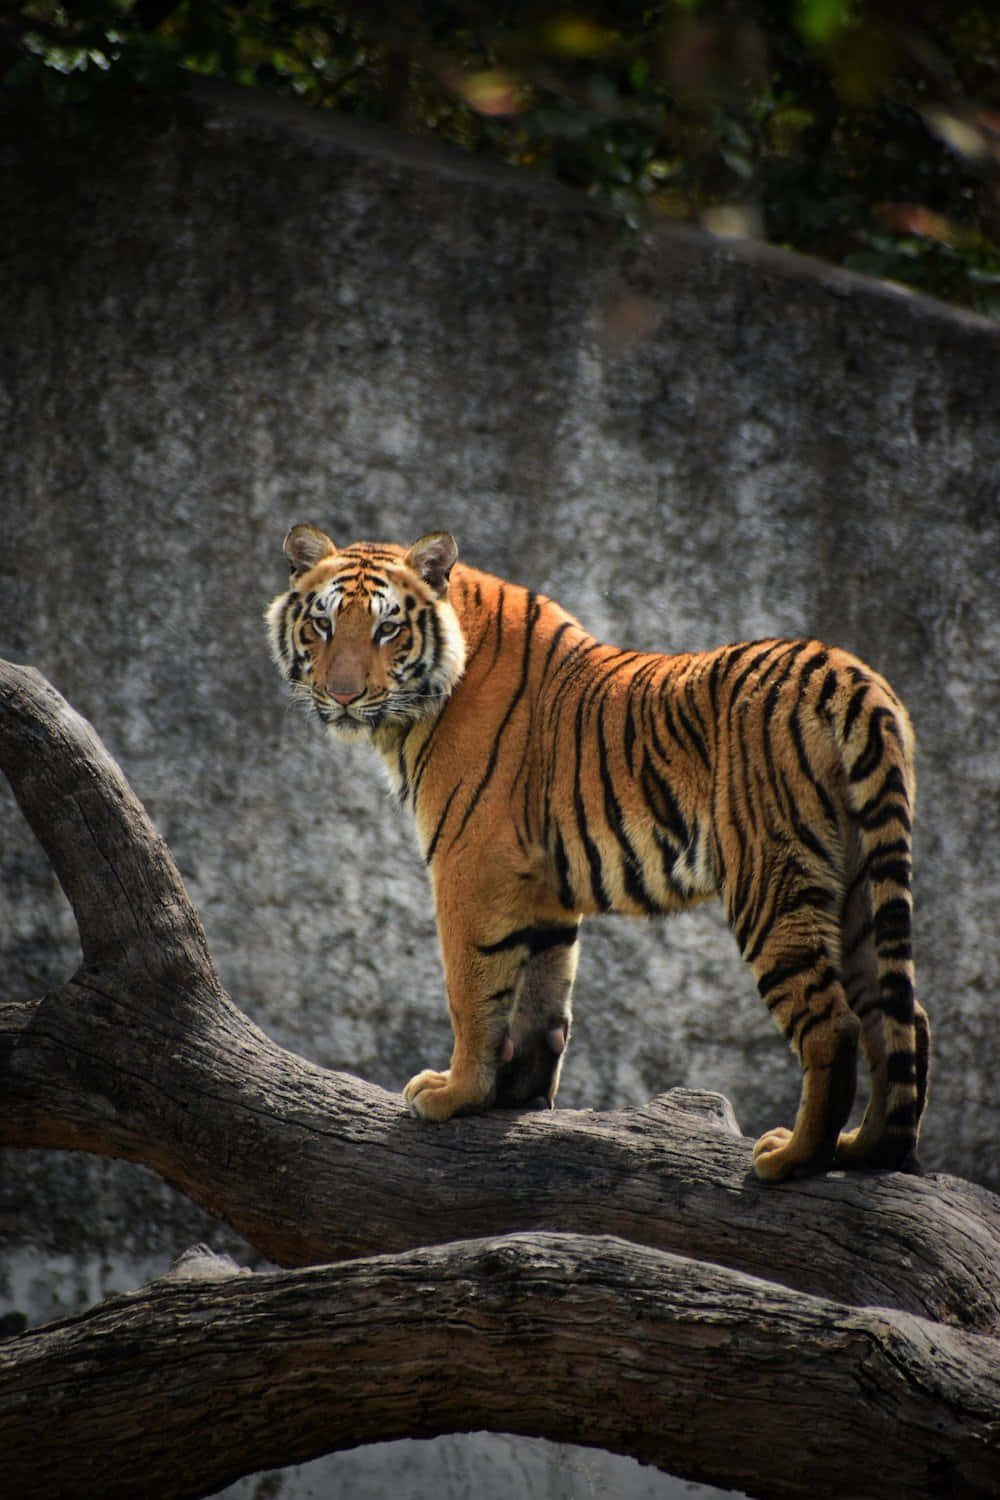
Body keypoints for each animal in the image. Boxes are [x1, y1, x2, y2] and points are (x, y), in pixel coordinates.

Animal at [266, 523, 929, 1182]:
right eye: (323, 624)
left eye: (387, 629)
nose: (343, 695)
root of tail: (848, 673)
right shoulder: (541, 884)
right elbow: (543, 994)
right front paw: (517, 1096)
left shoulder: (470, 862)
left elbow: (473, 988)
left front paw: (455, 1094)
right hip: (860, 882)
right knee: (900, 1018)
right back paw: (867, 1150)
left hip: (770, 879)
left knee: (834, 1024)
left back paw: (791, 1159)